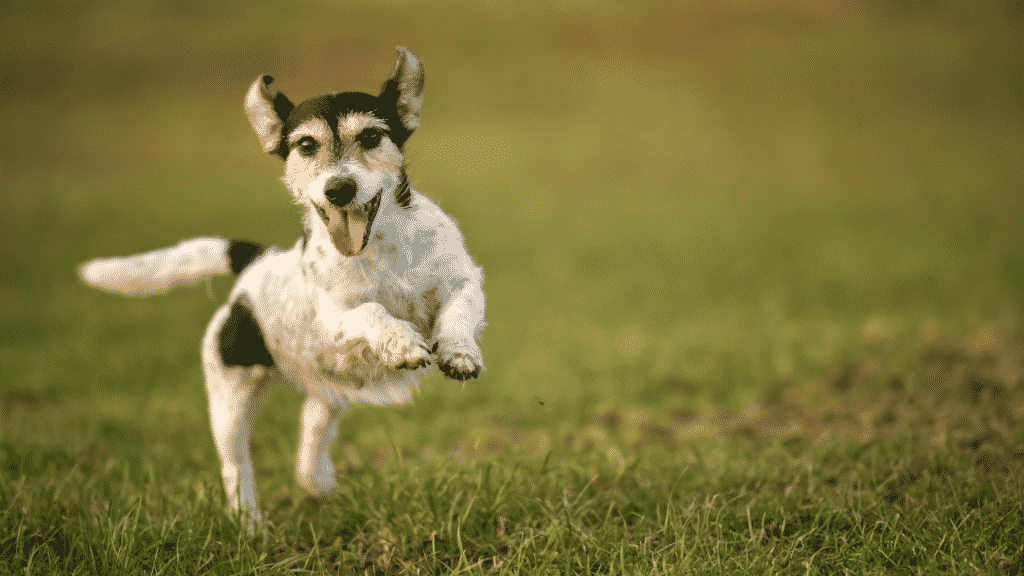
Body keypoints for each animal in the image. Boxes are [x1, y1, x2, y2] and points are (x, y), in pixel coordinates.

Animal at [77, 47, 485, 528]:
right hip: (230, 403)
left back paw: (321, 487)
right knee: (236, 466)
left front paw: (459, 353)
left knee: (311, 430)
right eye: (306, 145)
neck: (381, 249)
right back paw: (249, 524)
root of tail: (255, 263)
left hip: (330, 390)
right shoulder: (335, 318)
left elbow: (458, 310)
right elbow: (373, 312)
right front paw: (402, 343)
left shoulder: (464, 279)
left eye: (371, 136)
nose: (339, 188)